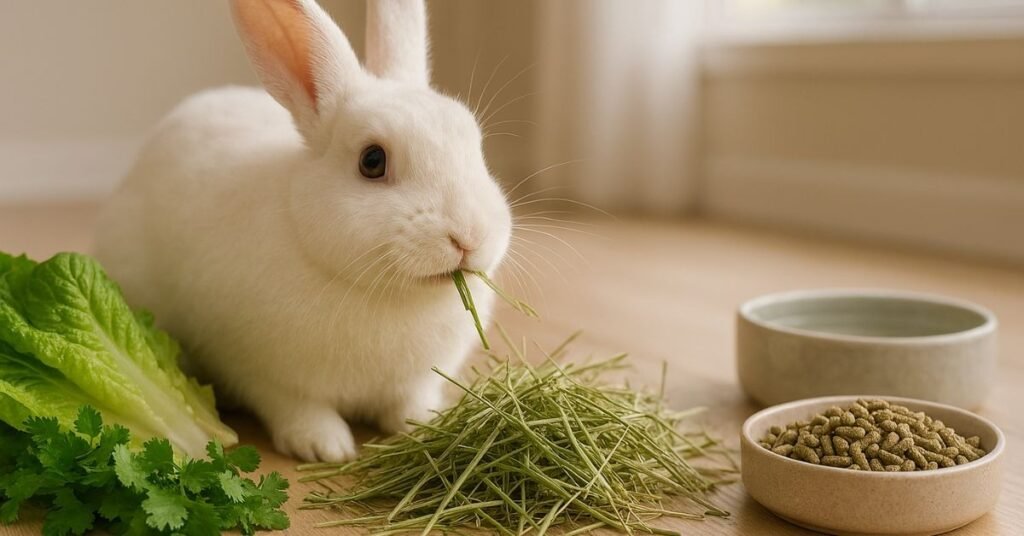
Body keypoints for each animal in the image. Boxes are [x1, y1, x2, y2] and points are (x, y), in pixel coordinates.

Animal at [95, 0, 511, 462]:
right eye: (372, 161)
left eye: (475, 147)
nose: (469, 236)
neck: (388, 294)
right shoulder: (262, 373)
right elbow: (298, 407)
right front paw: (325, 447)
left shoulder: (417, 380)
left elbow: (410, 404)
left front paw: (426, 424)